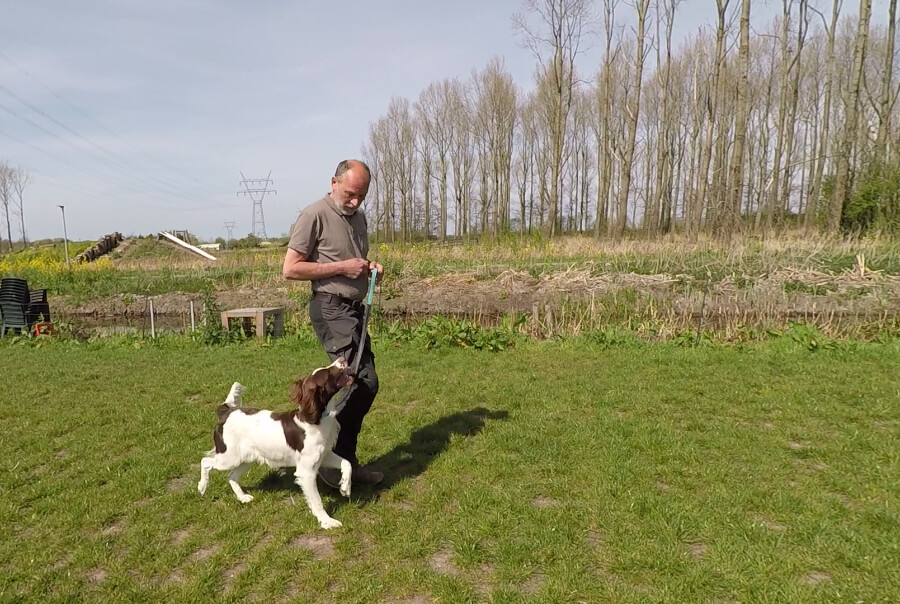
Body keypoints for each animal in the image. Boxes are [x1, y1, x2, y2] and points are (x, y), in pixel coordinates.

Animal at [197, 358, 356, 528]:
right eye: (328, 373)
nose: (342, 359)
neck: (316, 418)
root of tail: (226, 413)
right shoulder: (306, 471)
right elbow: (317, 500)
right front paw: (327, 521)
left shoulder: (324, 455)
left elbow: (347, 463)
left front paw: (345, 487)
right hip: (229, 457)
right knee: (206, 461)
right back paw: (202, 487)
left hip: (246, 458)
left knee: (231, 476)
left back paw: (243, 497)